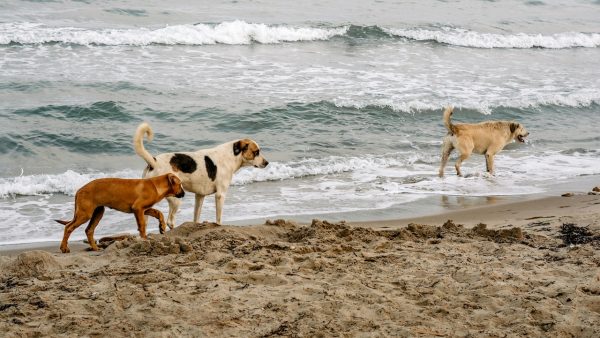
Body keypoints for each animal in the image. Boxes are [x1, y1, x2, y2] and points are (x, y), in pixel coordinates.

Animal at [135, 121, 270, 227]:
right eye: (256, 152)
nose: (267, 163)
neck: (230, 156)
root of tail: (154, 162)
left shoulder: (199, 196)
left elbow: (196, 216)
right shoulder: (220, 195)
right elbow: (219, 218)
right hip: (176, 199)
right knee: (170, 222)